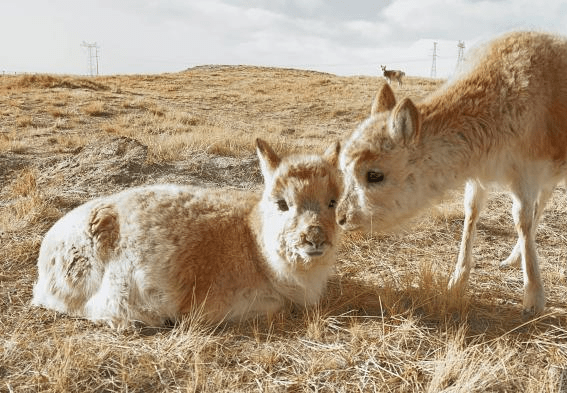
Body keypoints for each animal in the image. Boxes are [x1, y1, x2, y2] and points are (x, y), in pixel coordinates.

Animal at [340, 32, 567, 316]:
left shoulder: (528, 171)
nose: (341, 218)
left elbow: (522, 219)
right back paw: (513, 259)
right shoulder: (479, 175)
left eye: (374, 175)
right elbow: (471, 213)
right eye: (344, 169)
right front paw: (457, 281)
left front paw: (534, 297)